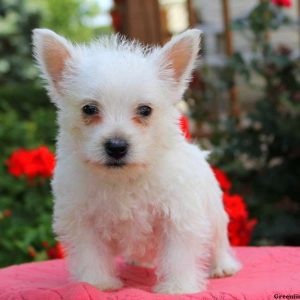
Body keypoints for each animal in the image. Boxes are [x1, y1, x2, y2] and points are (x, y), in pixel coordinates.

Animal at [32, 28, 239, 292]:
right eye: (89, 109)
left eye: (145, 110)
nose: (116, 146)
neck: (125, 177)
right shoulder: (83, 220)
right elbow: (91, 254)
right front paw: (97, 283)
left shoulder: (178, 217)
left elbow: (178, 255)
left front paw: (178, 287)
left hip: (214, 212)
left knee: (218, 241)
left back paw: (223, 266)